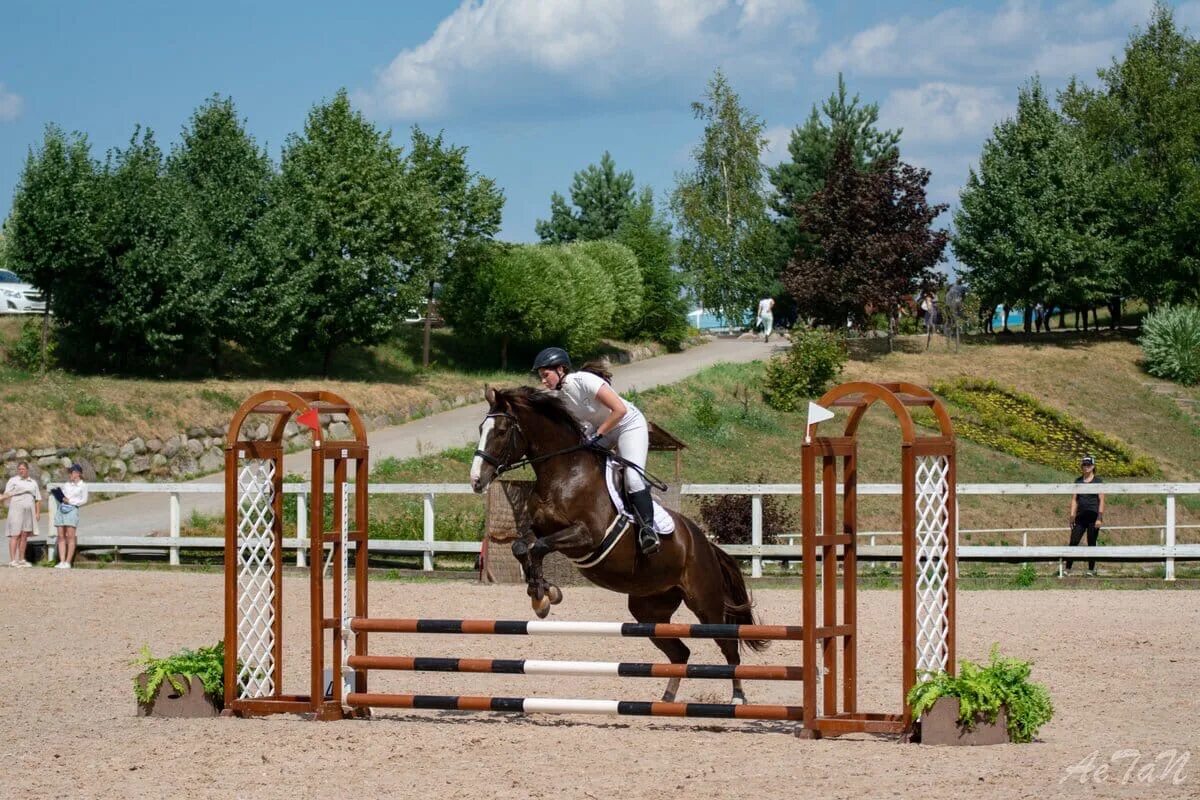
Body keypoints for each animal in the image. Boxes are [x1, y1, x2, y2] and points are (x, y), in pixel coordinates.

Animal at [470, 383, 768, 705]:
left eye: (501, 431)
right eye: (480, 429)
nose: (475, 480)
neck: (564, 472)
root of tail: (704, 543)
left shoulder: (586, 536)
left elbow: (538, 548)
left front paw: (542, 597)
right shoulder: (537, 529)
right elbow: (522, 547)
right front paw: (544, 591)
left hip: (705, 602)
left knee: (728, 646)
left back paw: (737, 698)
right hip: (649, 608)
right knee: (680, 652)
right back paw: (666, 699)